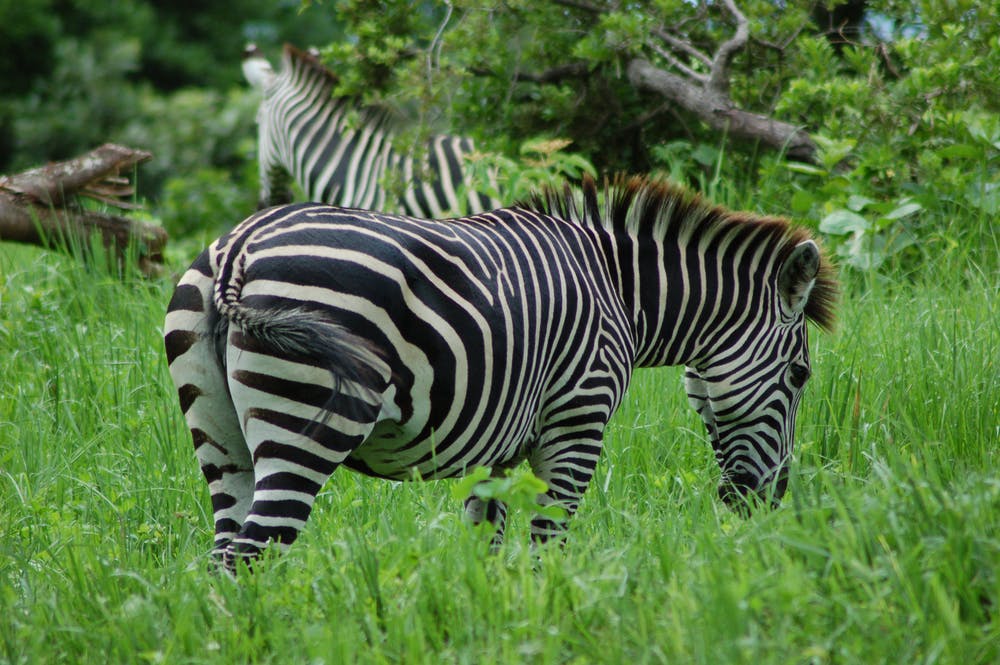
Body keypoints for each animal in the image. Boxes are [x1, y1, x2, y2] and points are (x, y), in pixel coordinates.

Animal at [164, 174, 836, 568]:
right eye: (800, 377)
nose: (768, 500)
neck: (621, 291)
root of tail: (240, 247)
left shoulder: (500, 444)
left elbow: (484, 542)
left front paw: (489, 622)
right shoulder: (577, 422)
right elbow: (548, 545)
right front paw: (555, 616)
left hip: (219, 436)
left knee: (223, 557)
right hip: (304, 424)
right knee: (254, 553)